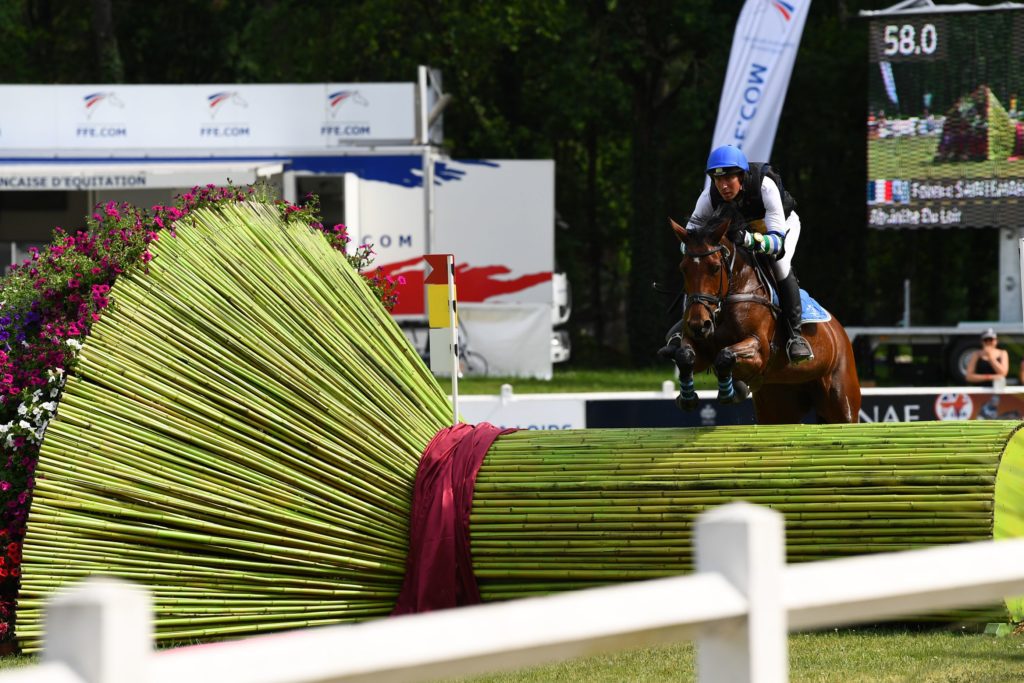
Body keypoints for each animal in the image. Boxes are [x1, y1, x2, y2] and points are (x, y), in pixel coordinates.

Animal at [659, 205, 860, 423]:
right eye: (683, 269)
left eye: (715, 268)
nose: (699, 325)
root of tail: (839, 332)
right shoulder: (700, 347)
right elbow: (685, 355)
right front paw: (687, 398)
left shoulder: (760, 350)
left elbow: (725, 355)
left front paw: (732, 391)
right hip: (778, 405)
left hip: (842, 403)